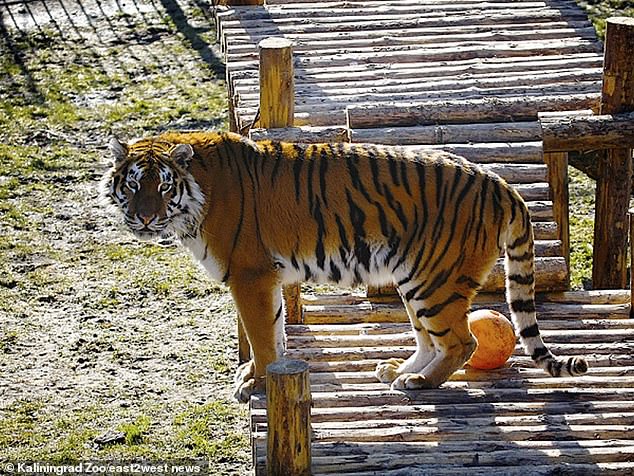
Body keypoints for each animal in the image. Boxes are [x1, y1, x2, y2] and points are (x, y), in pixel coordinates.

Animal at [100, 129, 588, 402]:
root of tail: (499, 182)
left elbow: (261, 337)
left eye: (163, 187)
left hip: (435, 281)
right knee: (430, 338)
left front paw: (256, 384)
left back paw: (419, 383)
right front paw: (262, 374)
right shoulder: (266, 277)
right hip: (416, 278)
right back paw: (399, 371)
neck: (195, 195)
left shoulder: (249, 274)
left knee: (462, 342)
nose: (145, 218)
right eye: (134, 184)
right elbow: (276, 331)